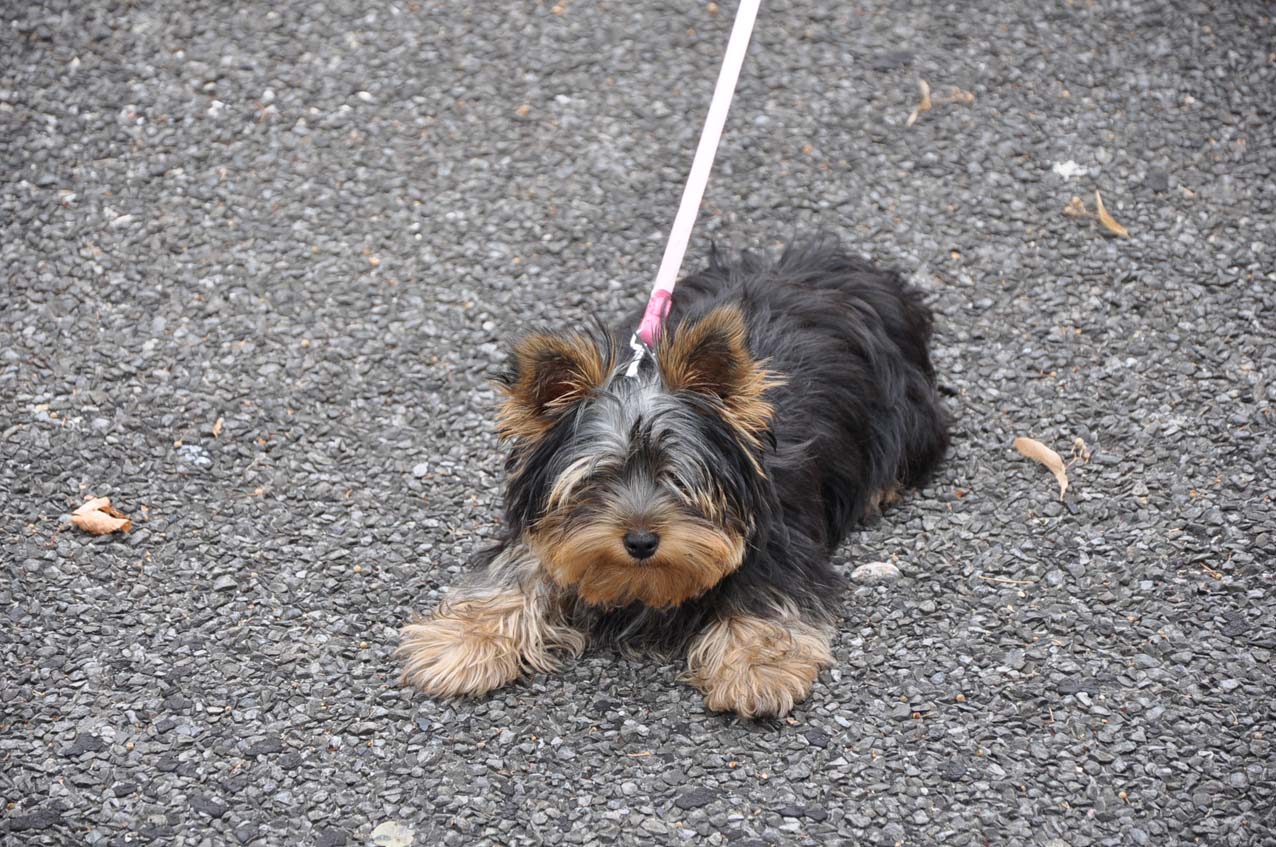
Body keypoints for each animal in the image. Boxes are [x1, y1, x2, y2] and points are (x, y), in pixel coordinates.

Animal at [399, 238, 949, 717]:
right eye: (596, 481)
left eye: (678, 479)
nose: (641, 541)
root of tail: (843, 265)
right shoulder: (538, 530)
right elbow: (518, 568)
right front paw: (464, 641)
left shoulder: (778, 535)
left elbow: (769, 591)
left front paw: (757, 665)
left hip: (906, 414)